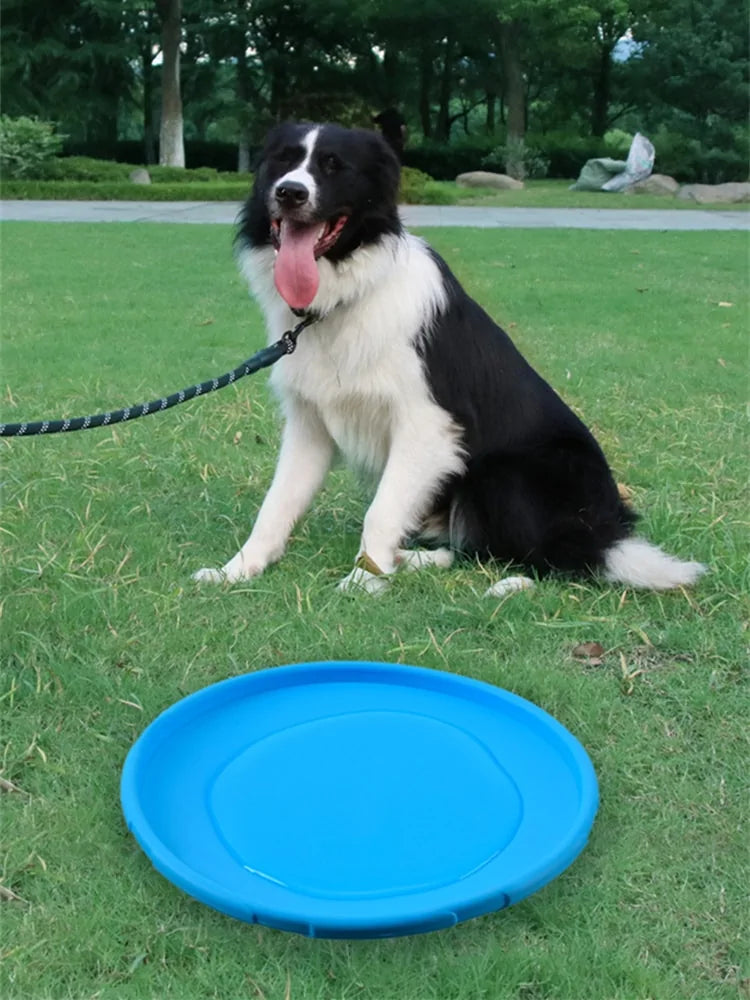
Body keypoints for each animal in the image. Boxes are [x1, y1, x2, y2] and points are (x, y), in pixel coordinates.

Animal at [194, 123, 704, 592]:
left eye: (334, 165)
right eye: (282, 161)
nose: (290, 192)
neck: (345, 297)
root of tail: (606, 529)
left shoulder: (429, 425)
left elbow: (381, 511)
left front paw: (364, 581)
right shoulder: (310, 424)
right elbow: (276, 503)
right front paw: (237, 569)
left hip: (507, 475)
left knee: (549, 556)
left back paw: (500, 582)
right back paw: (414, 559)